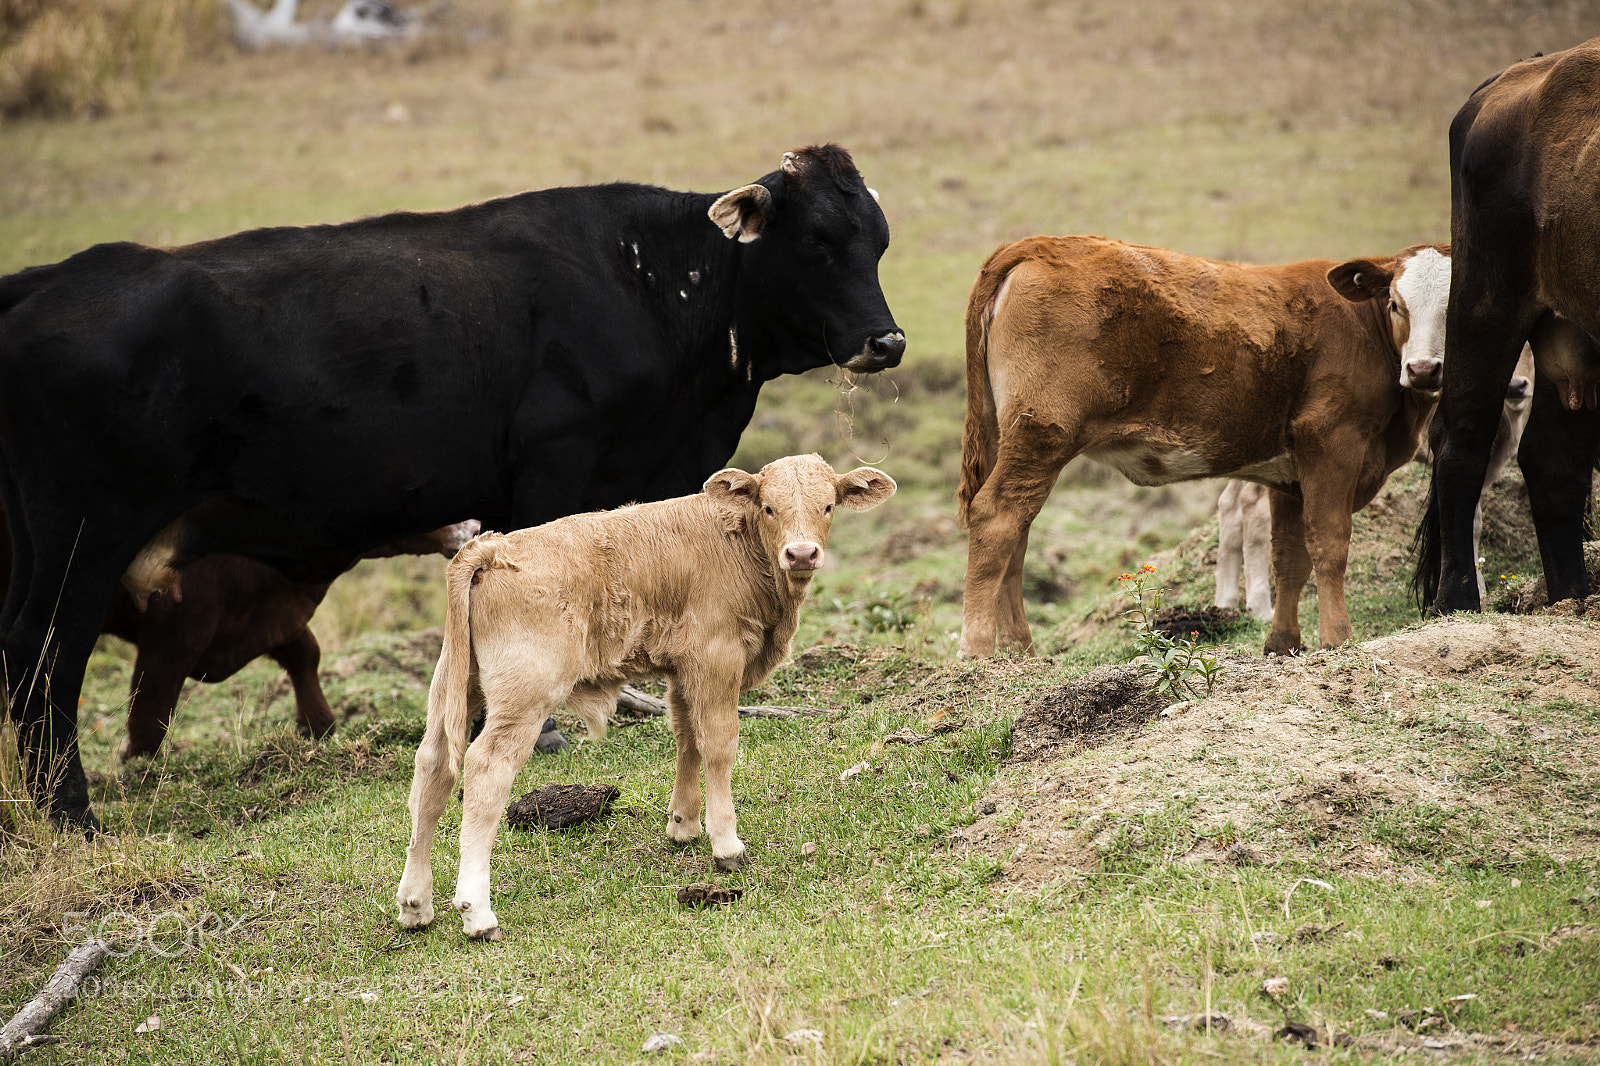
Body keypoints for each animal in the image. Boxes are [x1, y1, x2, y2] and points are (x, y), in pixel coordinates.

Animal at [0, 520, 476, 761]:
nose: (471, 527)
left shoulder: (261, 614)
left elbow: (305, 653)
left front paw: (318, 725)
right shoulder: (174, 633)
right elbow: (149, 711)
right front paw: (137, 769)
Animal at [395, 454, 895, 940]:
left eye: (827, 506)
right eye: (769, 507)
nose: (802, 553)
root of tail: (492, 547)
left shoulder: (683, 670)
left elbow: (687, 737)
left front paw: (685, 824)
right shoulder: (717, 659)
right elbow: (719, 744)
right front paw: (726, 845)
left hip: (456, 685)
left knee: (433, 768)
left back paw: (416, 904)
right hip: (525, 697)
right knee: (486, 770)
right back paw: (477, 912)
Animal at [957, 235, 1449, 658]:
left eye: (1455, 309)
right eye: (1395, 303)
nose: (1424, 369)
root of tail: (1038, 244)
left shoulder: (1290, 475)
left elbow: (1290, 557)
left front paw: (1283, 643)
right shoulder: (1331, 443)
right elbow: (1329, 544)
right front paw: (1337, 639)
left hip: (1010, 438)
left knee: (1017, 531)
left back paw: (1020, 652)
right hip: (1042, 437)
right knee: (998, 518)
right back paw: (977, 651)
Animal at [1415, 39, 1600, 615]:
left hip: (1570, 333)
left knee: (1553, 462)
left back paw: (1572, 601)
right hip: (1486, 303)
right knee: (1460, 439)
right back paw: (1457, 601)